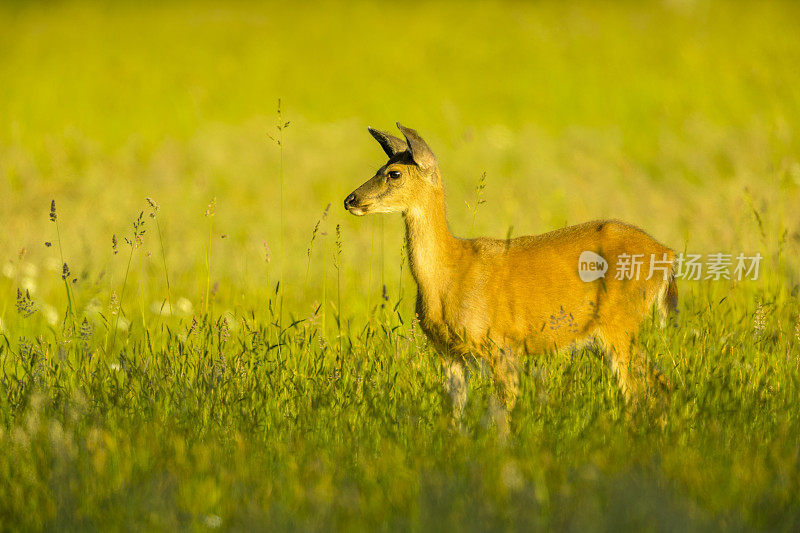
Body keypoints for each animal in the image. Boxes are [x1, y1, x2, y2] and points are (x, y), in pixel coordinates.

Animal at [344, 123, 676, 428]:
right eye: (379, 168)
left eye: (394, 173)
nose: (350, 199)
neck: (450, 273)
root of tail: (667, 253)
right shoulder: (448, 351)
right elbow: (454, 413)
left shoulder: (501, 343)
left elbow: (503, 409)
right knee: (660, 382)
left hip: (620, 322)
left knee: (639, 390)